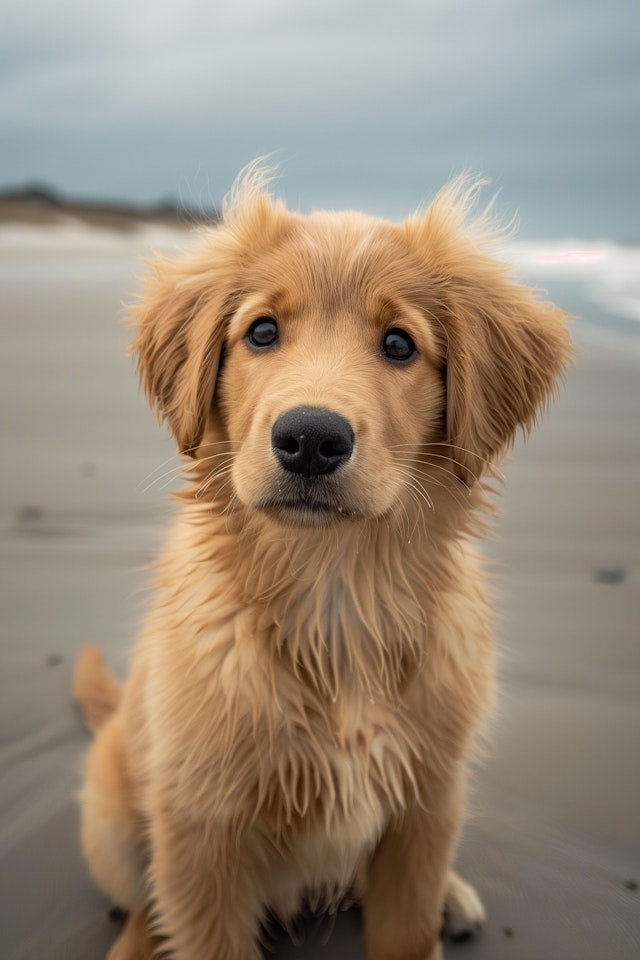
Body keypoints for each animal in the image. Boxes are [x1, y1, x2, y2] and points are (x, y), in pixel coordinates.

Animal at [74, 167, 568, 960]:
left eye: (399, 344)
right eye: (262, 332)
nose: (309, 438)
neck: (336, 588)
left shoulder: (423, 809)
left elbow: (406, 930)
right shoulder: (200, 832)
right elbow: (200, 931)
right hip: (116, 822)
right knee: (145, 902)